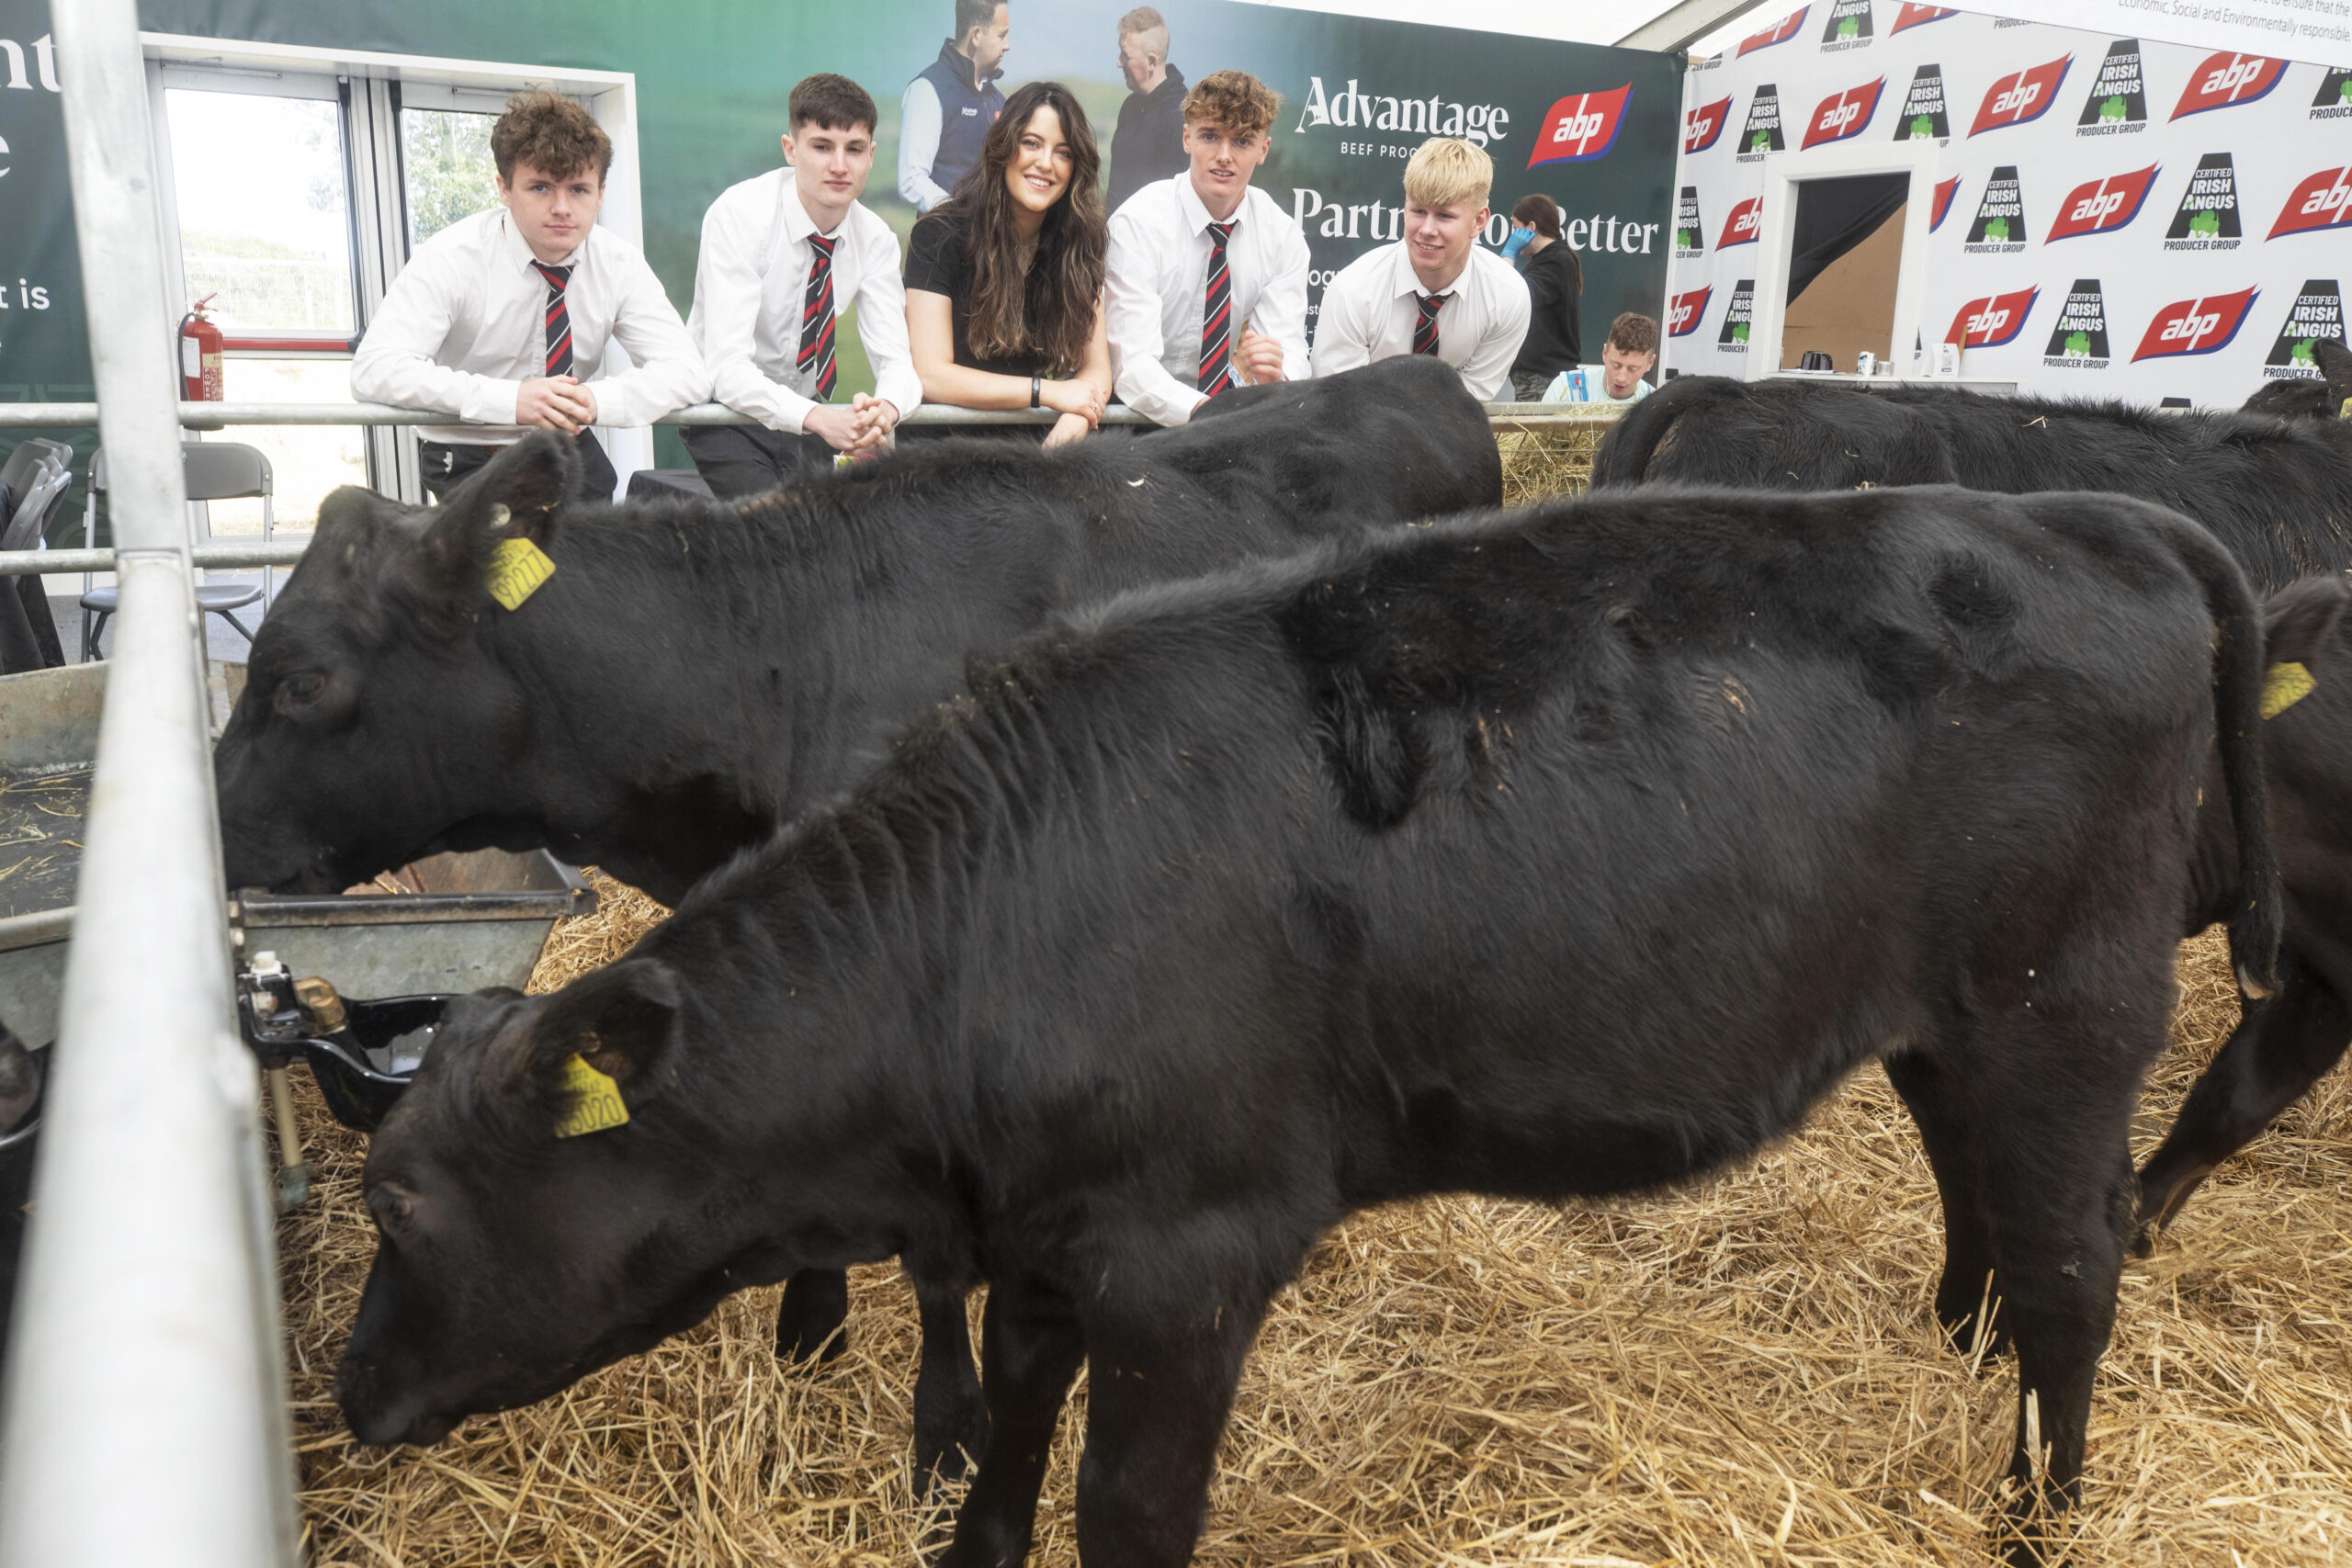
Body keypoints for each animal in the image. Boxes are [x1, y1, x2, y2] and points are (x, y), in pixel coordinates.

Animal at [216, 359, 1486, 1495]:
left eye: (298, 680)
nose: (215, 827)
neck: (783, 652)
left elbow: (936, 1265)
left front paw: (943, 1430)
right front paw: (812, 1324)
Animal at [336, 484, 2277, 1561]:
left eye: (403, 1203)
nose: (349, 1397)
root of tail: (2093, 513)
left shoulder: (1189, 1256)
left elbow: (1127, 1511)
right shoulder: (1048, 1240)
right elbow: (1008, 1435)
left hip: (2066, 1005)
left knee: (2077, 1264)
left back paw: (2035, 1521)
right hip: (1950, 1019)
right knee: (1991, 1205)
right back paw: (1962, 1356)